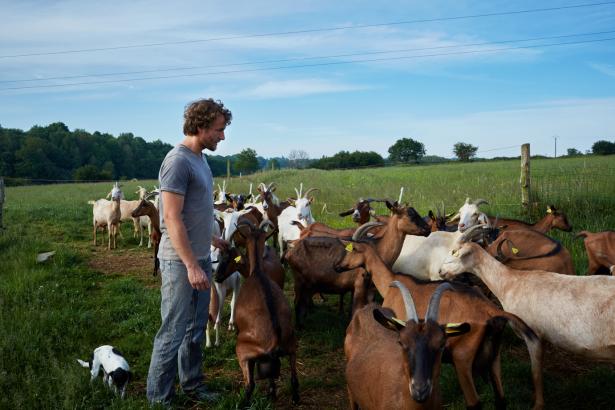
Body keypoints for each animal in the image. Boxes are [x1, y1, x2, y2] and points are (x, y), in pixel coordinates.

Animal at [232, 221, 300, 404]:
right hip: (292, 346)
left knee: (250, 385)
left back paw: (242, 403)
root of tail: (275, 338)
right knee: (294, 377)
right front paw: (272, 393)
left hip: (242, 351)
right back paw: (294, 398)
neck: (258, 272)